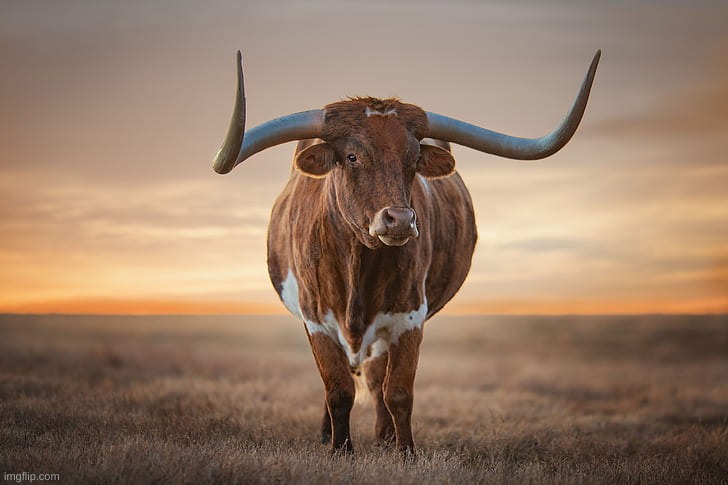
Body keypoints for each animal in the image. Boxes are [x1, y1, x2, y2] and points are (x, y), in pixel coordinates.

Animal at [212, 50, 600, 455]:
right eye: (352, 156)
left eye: (413, 160)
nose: (399, 220)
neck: (356, 261)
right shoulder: (315, 317)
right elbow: (337, 390)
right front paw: (340, 449)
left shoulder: (408, 316)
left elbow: (398, 391)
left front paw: (404, 452)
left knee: (376, 380)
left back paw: (383, 438)